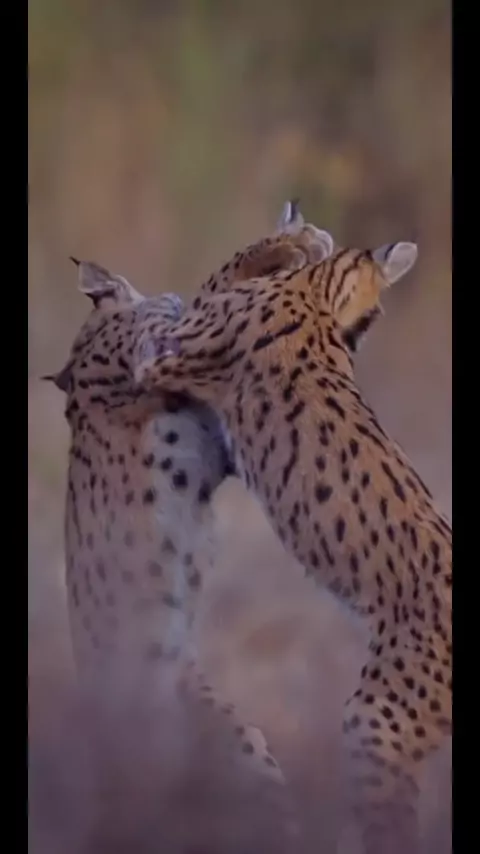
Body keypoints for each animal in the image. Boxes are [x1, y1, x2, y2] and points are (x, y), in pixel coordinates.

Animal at [133, 209, 451, 854]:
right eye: (371, 323)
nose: (358, 337)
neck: (319, 297)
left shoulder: (173, 350)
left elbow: (208, 283)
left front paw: (294, 239)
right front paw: (301, 240)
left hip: (376, 721)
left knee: (393, 821)